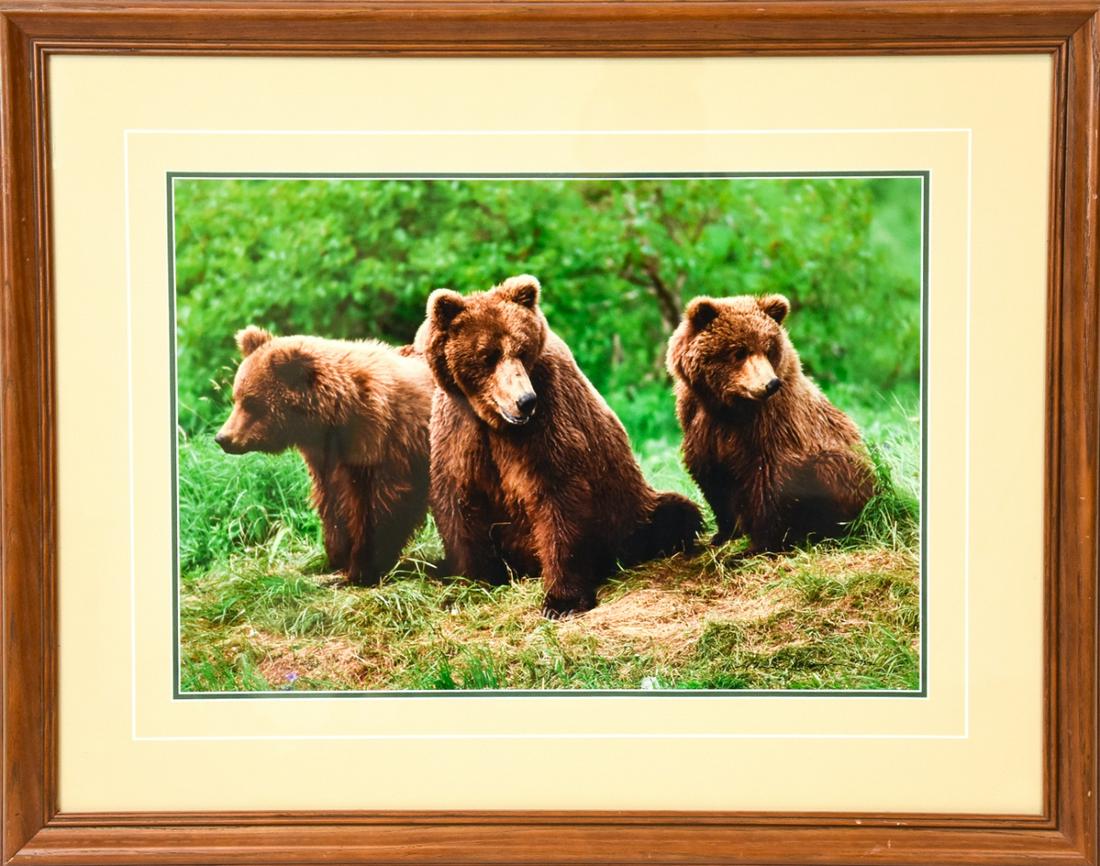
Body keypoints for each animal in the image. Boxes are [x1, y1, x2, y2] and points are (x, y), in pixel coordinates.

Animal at [215, 326, 434, 585]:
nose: (223, 438)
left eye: (251, 402)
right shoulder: (326, 458)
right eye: (236, 398)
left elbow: (382, 502)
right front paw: (335, 557)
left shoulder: (386, 442)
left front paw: (361, 567)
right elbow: (332, 501)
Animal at [423, 274, 704, 617]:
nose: (525, 401)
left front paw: (562, 600)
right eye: (487, 355)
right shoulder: (461, 430)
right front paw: (468, 583)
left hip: (631, 510)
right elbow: (459, 501)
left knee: (675, 514)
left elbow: (557, 493)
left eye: (521, 349)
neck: (494, 421)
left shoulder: (547, 417)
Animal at [666, 294, 875, 554]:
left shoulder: (773, 425)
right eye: (739, 351)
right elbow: (713, 477)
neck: (729, 408)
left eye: (768, 349)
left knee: (833, 469)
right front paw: (724, 534)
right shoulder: (700, 421)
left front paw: (758, 545)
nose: (770, 383)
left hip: (848, 470)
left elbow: (770, 481)